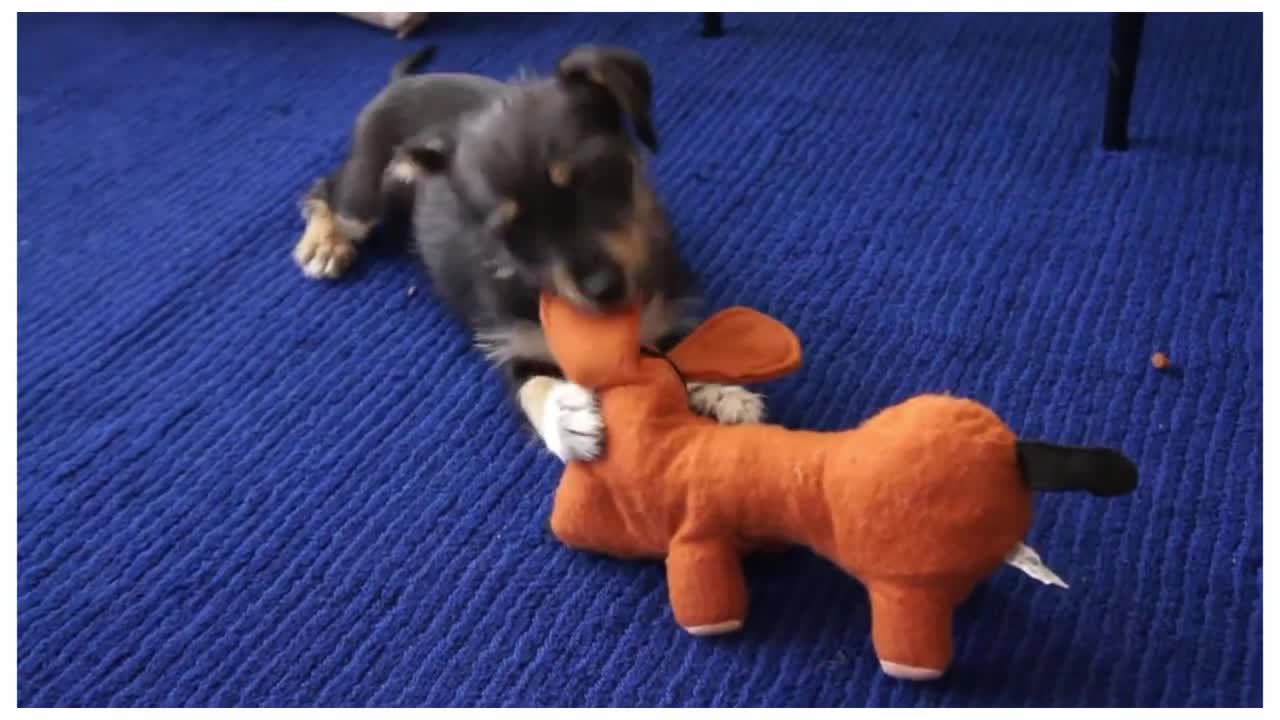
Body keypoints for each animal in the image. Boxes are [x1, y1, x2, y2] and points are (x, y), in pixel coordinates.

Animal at [294, 46, 762, 458]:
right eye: (513, 232)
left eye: (597, 178)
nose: (604, 290)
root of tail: (398, 83)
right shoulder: (514, 346)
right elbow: (534, 385)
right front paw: (566, 418)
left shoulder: (668, 309)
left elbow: (689, 348)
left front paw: (723, 392)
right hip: (366, 197)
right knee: (323, 191)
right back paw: (324, 244)